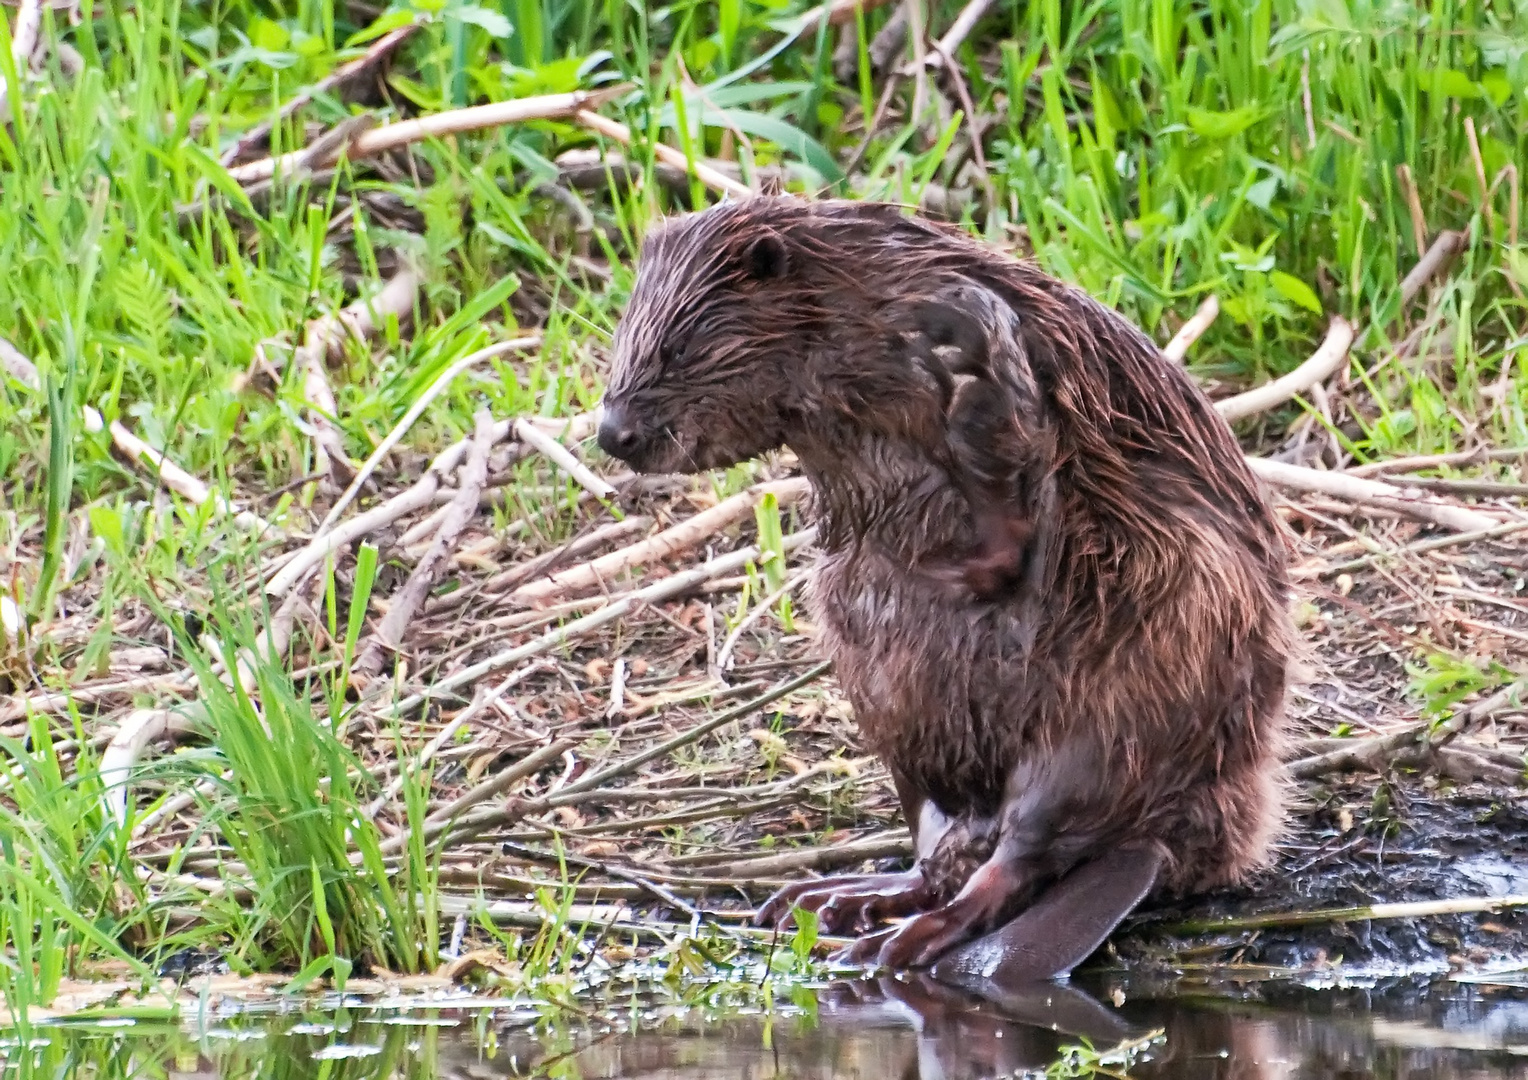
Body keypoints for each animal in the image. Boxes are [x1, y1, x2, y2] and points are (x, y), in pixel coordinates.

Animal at [595, 197, 1289, 977]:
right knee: (943, 850)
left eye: (676, 349)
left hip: (1128, 692)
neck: (851, 300)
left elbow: (1006, 428)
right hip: (898, 728)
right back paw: (833, 900)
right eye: (625, 339)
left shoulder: (966, 314)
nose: (612, 434)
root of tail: (1160, 846)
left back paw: (902, 942)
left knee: (1019, 855)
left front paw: (951, 540)